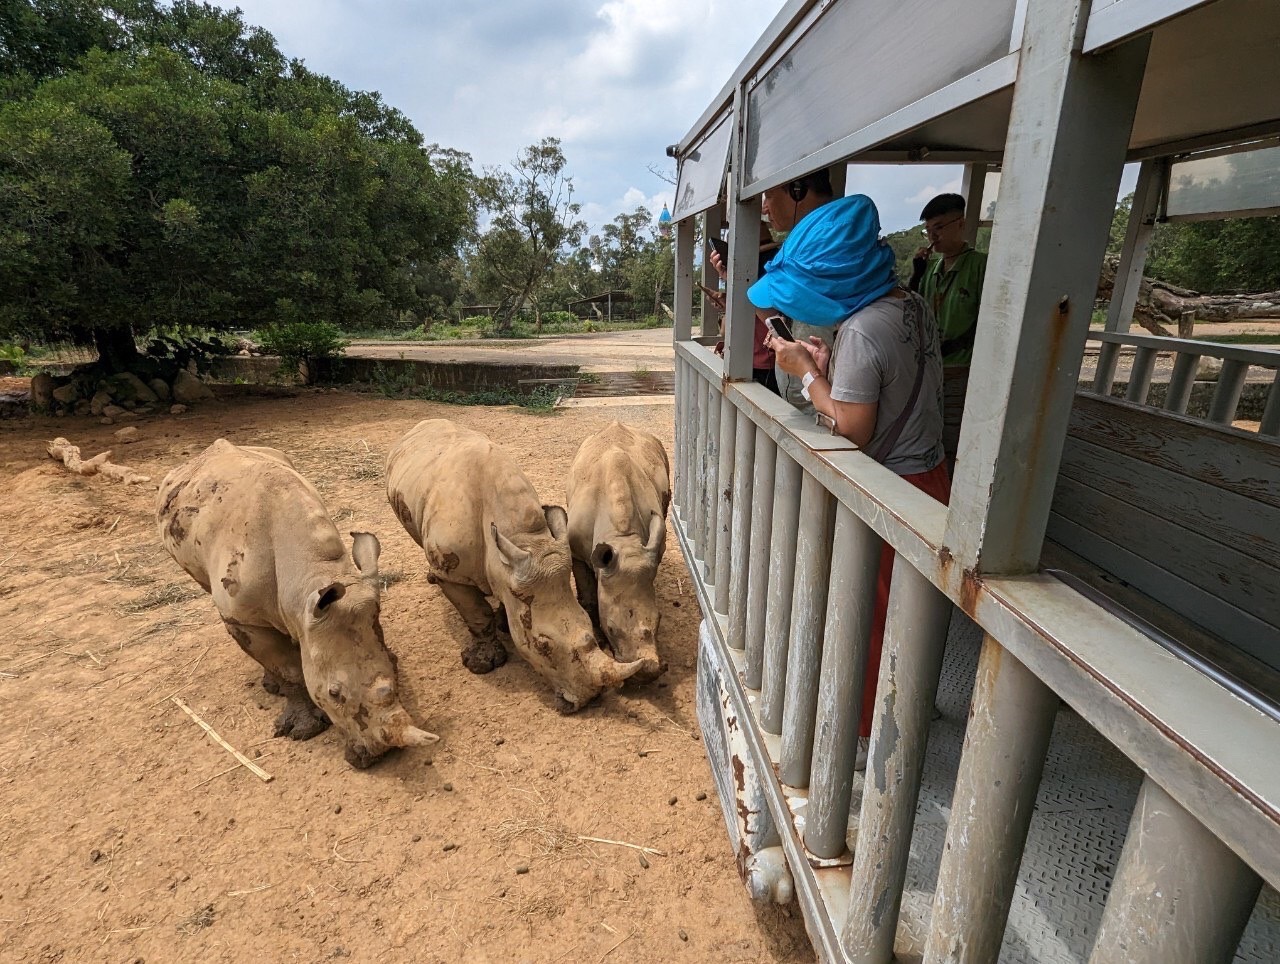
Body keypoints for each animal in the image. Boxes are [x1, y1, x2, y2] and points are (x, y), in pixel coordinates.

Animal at [155, 437, 440, 768]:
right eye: (334, 693)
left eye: (395, 664)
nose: (380, 757)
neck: (309, 575)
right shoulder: (243, 617)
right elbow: (287, 668)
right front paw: (304, 729)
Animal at [381, 417, 645, 711]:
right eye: (542, 646)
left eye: (589, 622)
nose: (591, 699)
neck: (522, 538)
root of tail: (421, 426)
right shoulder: (456, 575)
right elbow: (476, 612)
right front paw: (483, 664)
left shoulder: (514, 569)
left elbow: (510, 601)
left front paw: (505, 623)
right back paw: (432, 577)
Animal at [568, 417, 670, 681]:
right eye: (611, 629)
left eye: (660, 620)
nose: (650, 671)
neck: (622, 539)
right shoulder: (576, 552)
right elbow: (589, 598)